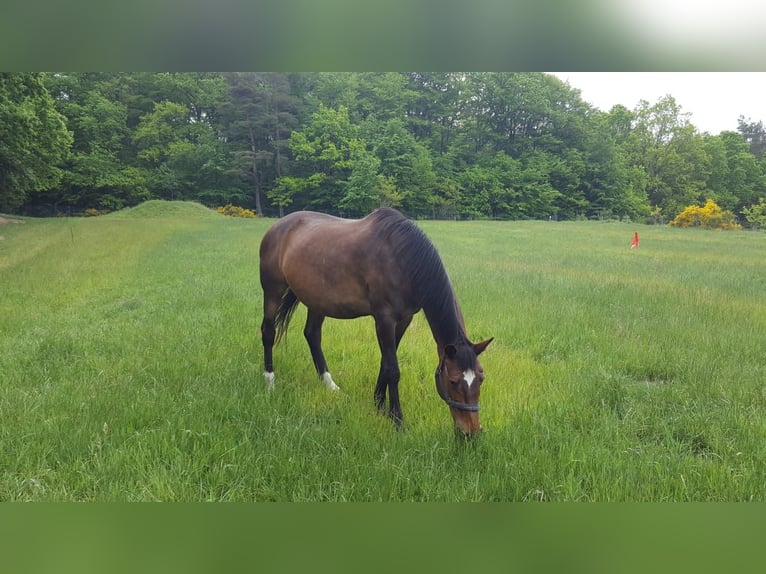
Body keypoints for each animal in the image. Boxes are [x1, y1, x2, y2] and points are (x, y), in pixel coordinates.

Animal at [260, 207, 496, 436]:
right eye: (453, 381)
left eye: (481, 378)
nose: (471, 433)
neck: (402, 258)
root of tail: (278, 226)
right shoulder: (384, 318)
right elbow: (393, 368)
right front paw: (397, 419)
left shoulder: (404, 319)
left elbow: (385, 362)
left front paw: (380, 406)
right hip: (273, 290)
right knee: (268, 332)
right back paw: (270, 383)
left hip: (317, 300)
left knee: (312, 335)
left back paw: (330, 386)